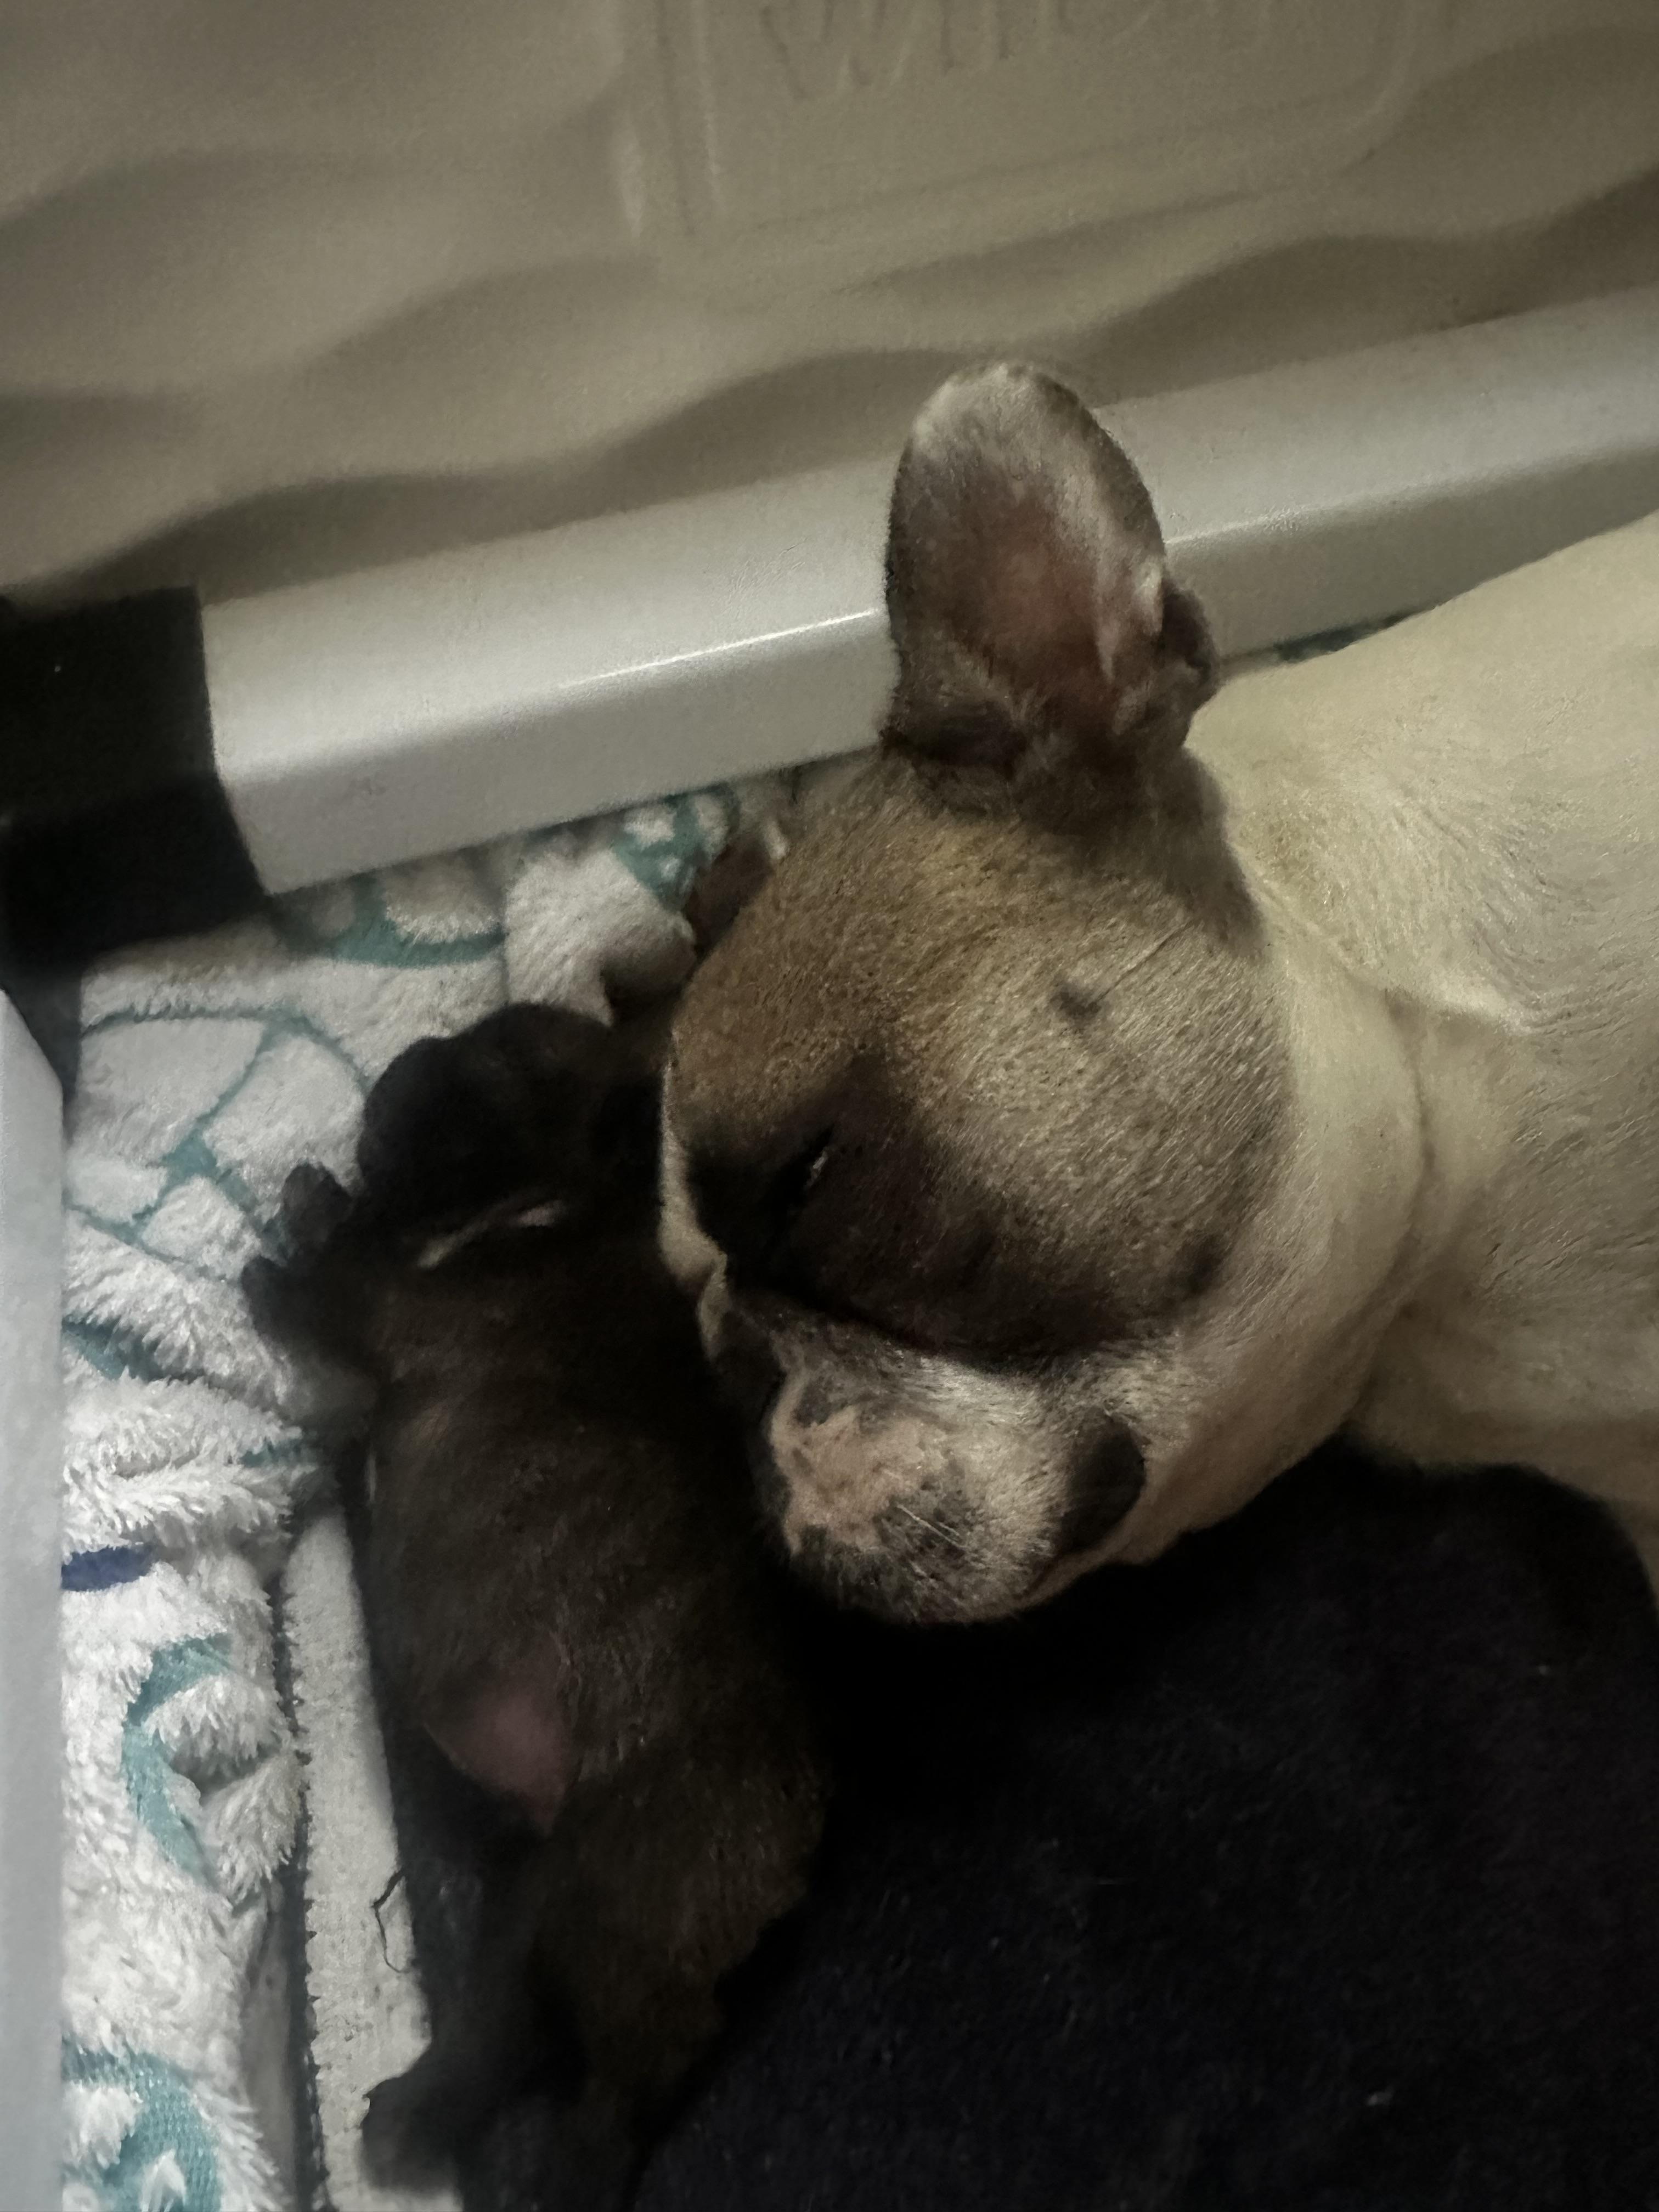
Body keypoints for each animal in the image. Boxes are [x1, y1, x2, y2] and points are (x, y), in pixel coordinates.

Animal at [245, 1005, 831, 2206]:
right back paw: (418, 2112)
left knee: (621, 2082)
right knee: (504, 2019)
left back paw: (560, 2173)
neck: (570, 1197)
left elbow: (347, 1273)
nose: (400, 1070)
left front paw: (299, 1233)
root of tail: (792, 1855)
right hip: (538, 1895)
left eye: (495, 1074)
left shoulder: (408, 1308)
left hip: (627, 1905)